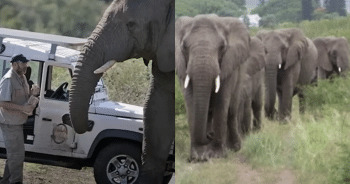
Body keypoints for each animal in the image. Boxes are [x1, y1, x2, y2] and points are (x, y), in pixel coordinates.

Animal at [176, 14, 250, 161]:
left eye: (222, 47)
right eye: (184, 47)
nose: (208, 136)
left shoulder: (228, 64)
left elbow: (221, 102)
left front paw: (217, 155)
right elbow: (191, 102)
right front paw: (198, 157)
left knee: (231, 110)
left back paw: (234, 148)